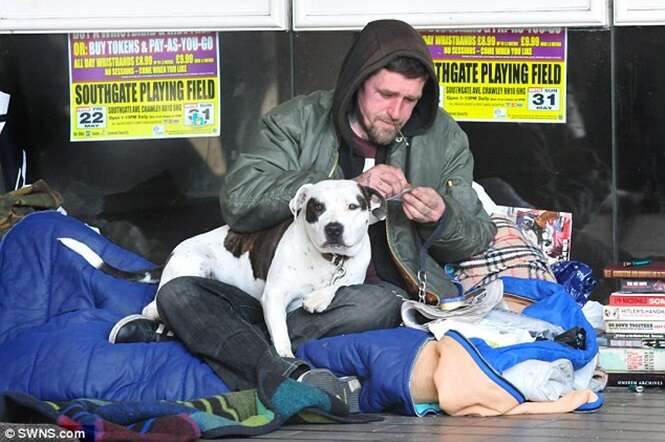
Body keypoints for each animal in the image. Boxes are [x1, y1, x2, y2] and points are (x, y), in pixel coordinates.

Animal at [63, 180, 384, 360]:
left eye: (353, 206)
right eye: (317, 207)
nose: (334, 228)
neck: (329, 258)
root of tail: (172, 252)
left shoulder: (354, 270)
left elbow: (342, 284)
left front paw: (319, 297)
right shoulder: (274, 297)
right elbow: (281, 334)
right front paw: (285, 354)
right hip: (193, 265)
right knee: (154, 303)